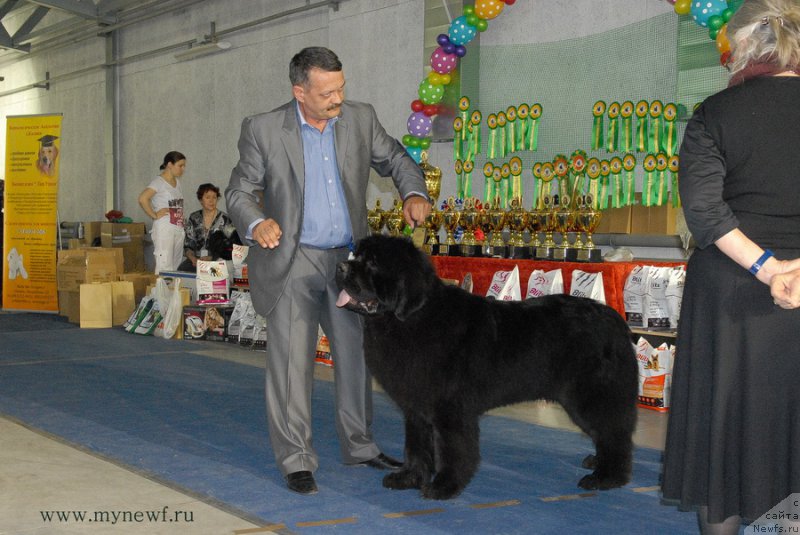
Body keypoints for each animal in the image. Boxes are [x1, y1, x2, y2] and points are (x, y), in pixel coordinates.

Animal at [336, 237, 636, 500]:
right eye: (355, 255)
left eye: (373, 263)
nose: (340, 267)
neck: (412, 318)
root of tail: (616, 321)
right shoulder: (416, 408)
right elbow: (416, 447)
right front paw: (409, 478)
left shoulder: (450, 410)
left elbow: (452, 450)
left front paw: (444, 487)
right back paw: (597, 462)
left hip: (591, 396)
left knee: (615, 434)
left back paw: (606, 477)